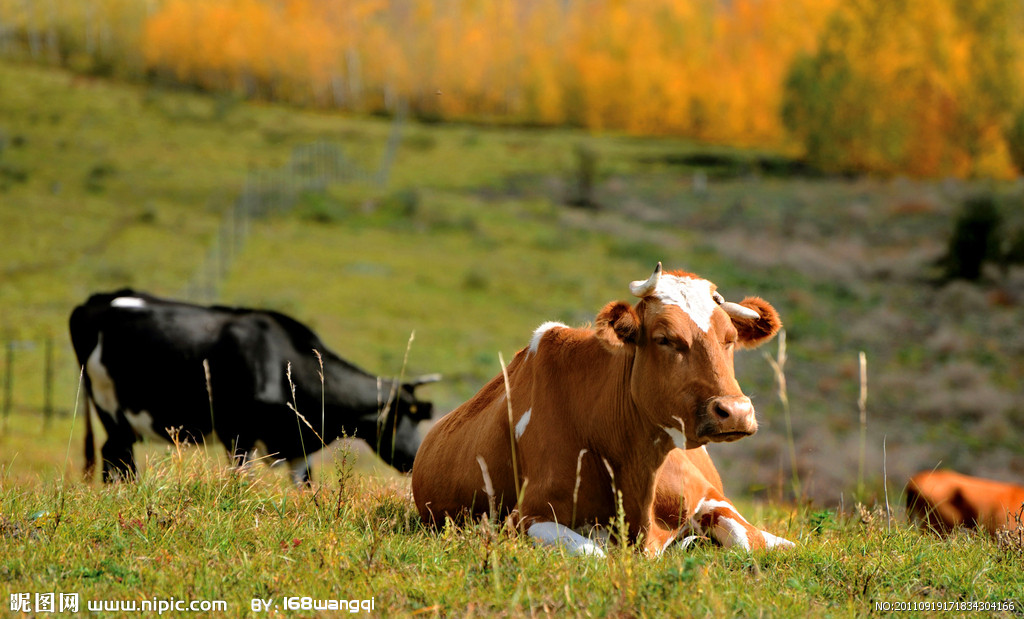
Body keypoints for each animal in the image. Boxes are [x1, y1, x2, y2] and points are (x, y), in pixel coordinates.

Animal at [70, 289, 438, 483]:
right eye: (407, 416)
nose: (417, 457)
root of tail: (96, 300)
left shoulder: (295, 448)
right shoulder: (238, 435)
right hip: (110, 408)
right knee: (118, 457)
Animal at [411, 261, 794, 557]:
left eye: (730, 338)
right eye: (664, 338)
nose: (736, 411)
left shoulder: (710, 496)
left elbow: (752, 541)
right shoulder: (529, 515)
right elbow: (594, 553)